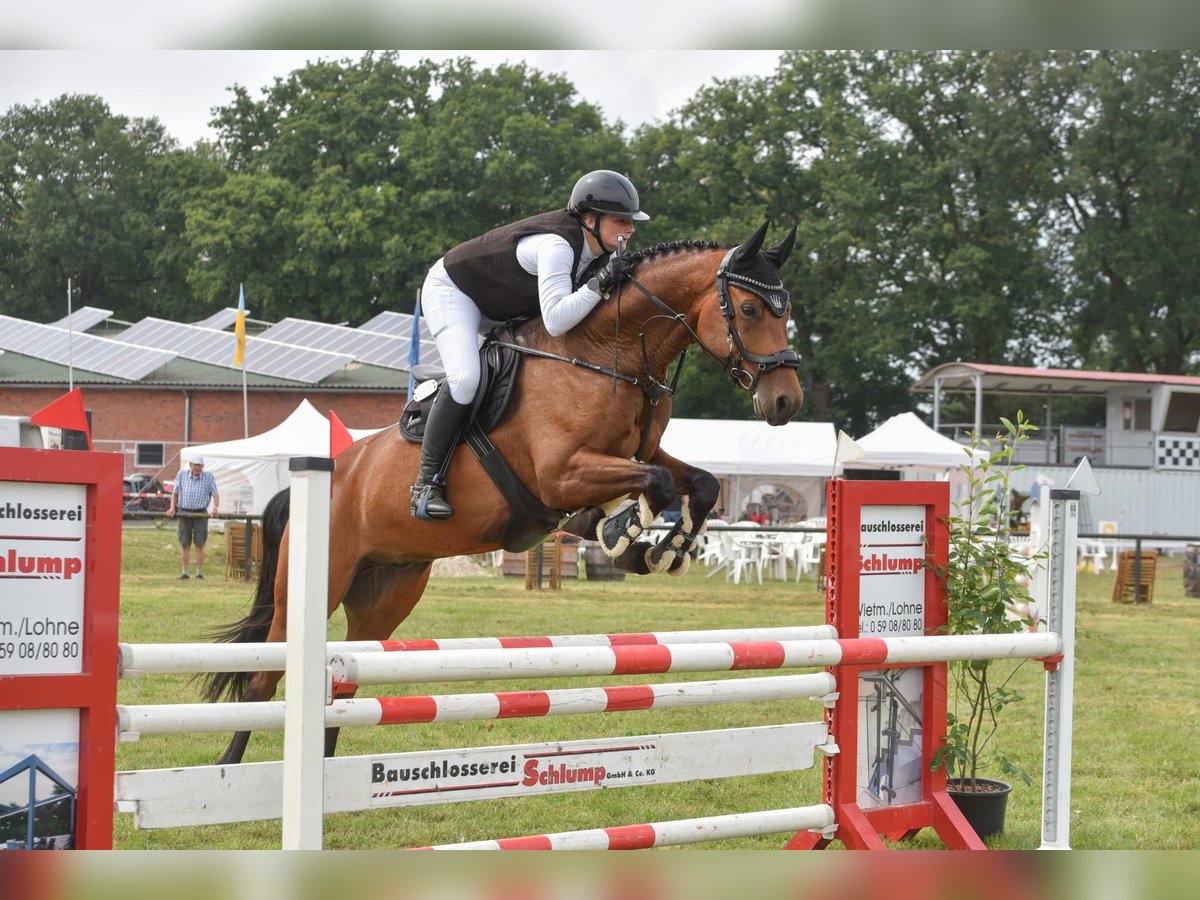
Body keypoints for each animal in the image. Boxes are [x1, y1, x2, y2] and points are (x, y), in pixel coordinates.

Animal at [204, 222, 806, 763]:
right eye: (750, 310)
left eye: (786, 312)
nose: (785, 402)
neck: (607, 351)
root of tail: (324, 478)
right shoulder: (562, 473)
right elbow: (652, 486)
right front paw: (618, 533)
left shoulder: (639, 454)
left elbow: (698, 481)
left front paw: (664, 549)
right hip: (312, 586)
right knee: (262, 680)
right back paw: (227, 771)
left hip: (387, 591)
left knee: (345, 684)